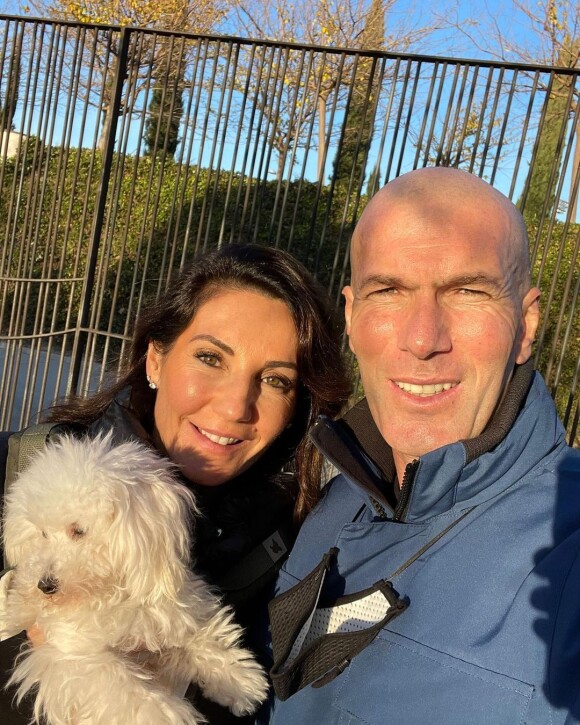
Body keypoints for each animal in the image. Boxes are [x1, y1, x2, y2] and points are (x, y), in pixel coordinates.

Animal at [0, 432, 270, 720]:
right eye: (42, 533)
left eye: (78, 530)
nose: (44, 586)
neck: (110, 592)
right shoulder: (71, 654)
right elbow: (121, 687)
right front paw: (166, 716)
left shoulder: (170, 606)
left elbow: (200, 632)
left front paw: (238, 679)